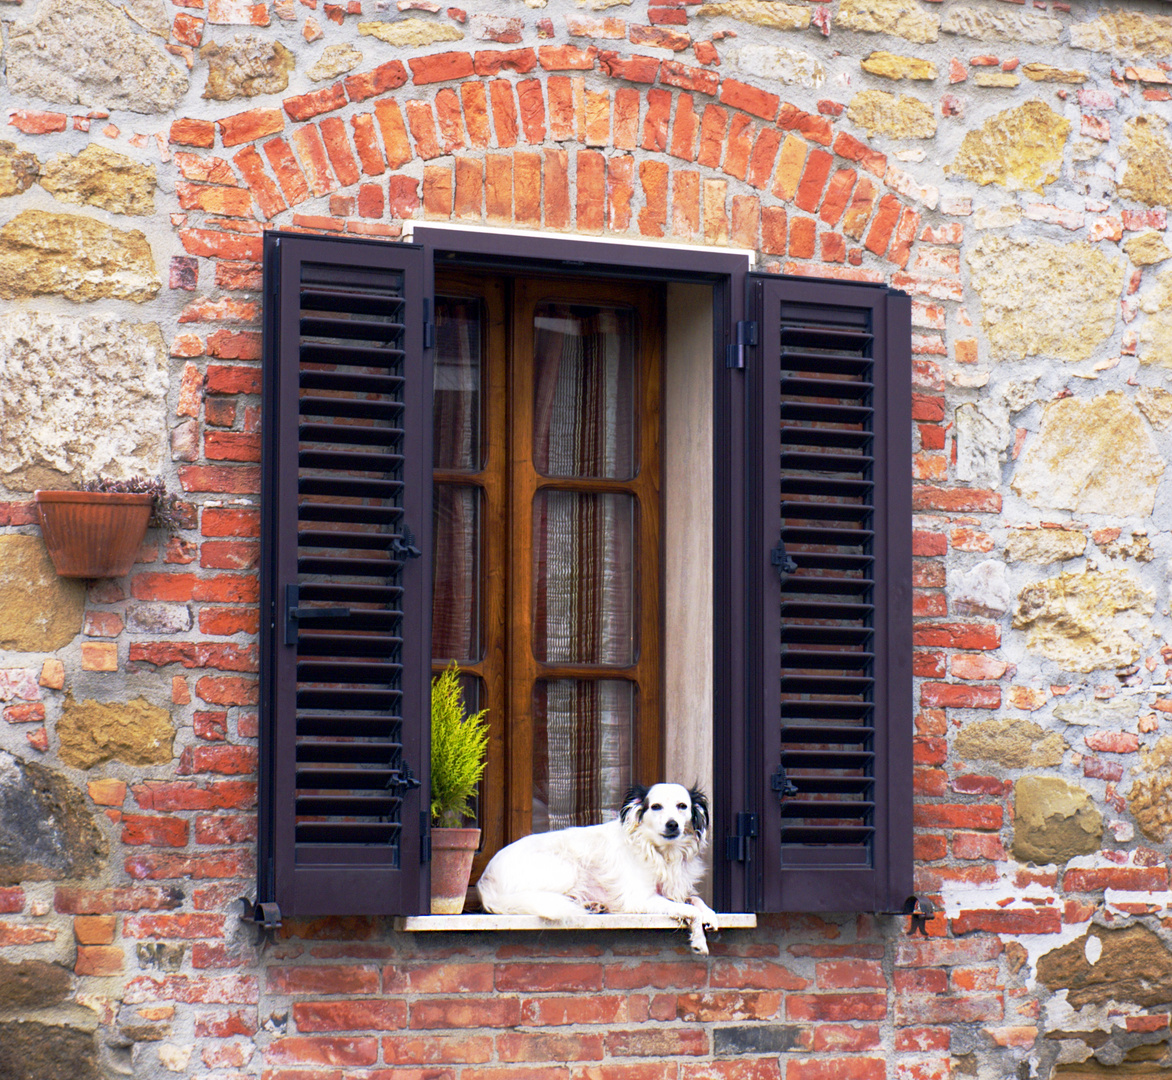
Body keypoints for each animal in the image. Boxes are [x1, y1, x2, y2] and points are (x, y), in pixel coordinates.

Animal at [478, 782, 721, 951]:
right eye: (656, 807)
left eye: (682, 806)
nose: (672, 824)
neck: (661, 853)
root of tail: (485, 879)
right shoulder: (640, 899)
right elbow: (690, 910)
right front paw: (699, 941)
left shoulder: (675, 891)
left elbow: (696, 900)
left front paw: (710, 915)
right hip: (565, 870)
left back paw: (592, 905)